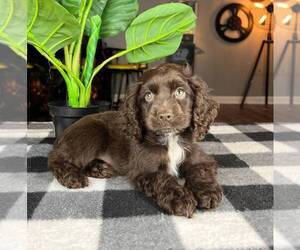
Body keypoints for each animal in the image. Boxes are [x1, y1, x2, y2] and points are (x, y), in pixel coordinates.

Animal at [48, 63, 223, 218]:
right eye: (148, 96)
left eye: (180, 92)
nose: (164, 116)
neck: (170, 139)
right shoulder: (146, 169)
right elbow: (164, 179)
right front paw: (181, 199)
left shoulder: (199, 158)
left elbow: (200, 171)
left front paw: (207, 192)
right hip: (93, 132)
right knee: (57, 159)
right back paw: (73, 177)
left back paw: (100, 168)